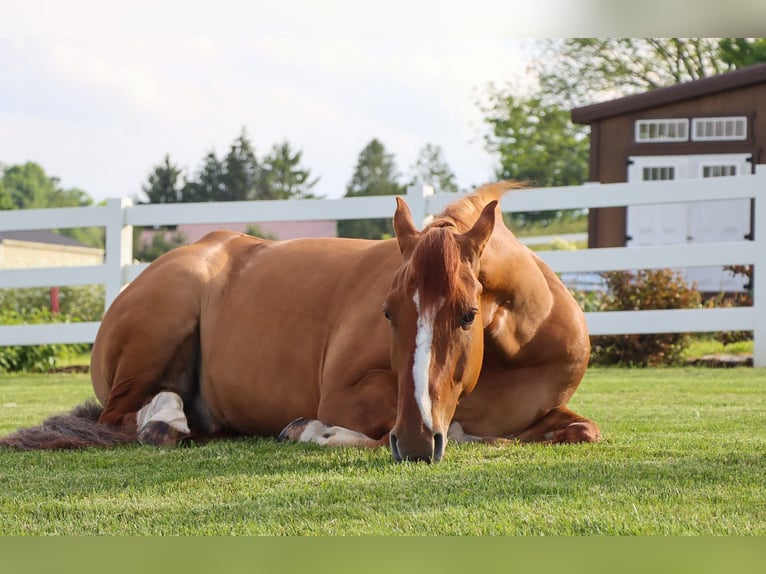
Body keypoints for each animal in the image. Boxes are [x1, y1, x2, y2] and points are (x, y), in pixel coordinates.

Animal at [0, 184, 600, 464]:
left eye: (468, 314)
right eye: (388, 312)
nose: (414, 441)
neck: (513, 355)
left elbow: (581, 430)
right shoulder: (347, 395)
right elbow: (377, 423)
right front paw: (314, 430)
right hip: (156, 330)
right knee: (120, 416)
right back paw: (163, 422)